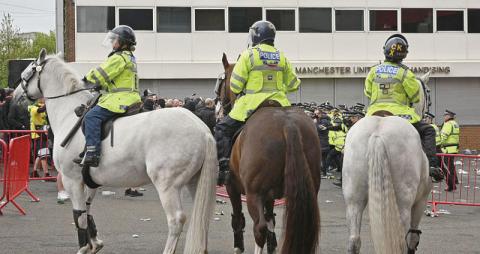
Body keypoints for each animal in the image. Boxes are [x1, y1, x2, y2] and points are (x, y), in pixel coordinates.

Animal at [13, 48, 217, 253]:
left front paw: (83, 247)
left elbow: (79, 216)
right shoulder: (89, 182)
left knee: (176, 220)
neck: (69, 114)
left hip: (167, 185)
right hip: (194, 182)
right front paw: (94, 244)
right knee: (202, 218)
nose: (15, 97)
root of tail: (202, 130)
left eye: (26, 74)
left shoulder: (72, 180)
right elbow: (88, 211)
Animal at [218, 52, 322, 253]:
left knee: (259, 227)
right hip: (308, 191)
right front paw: (272, 246)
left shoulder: (232, 186)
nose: (219, 109)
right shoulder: (270, 195)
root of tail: (288, 124)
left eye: (221, 81)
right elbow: (271, 220)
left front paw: (238, 246)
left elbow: (238, 219)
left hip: (253, 194)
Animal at [344, 72, 434, 253]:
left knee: (354, 240)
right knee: (402, 241)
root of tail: (377, 134)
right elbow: (413, 237)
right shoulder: (421, 200)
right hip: (402, 202)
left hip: (353, 198)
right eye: (427, 91)